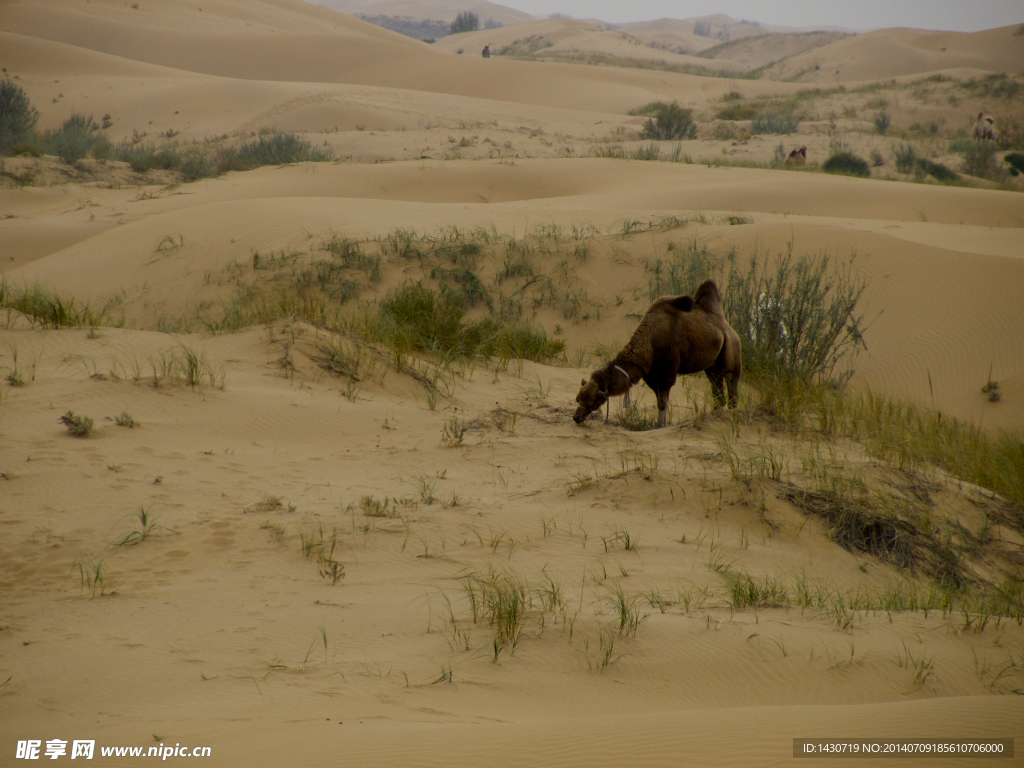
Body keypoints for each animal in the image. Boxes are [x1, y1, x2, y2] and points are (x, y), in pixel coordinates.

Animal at [573, 280, 741, 430]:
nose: (576, 417)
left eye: (593, 399)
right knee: (716, 387)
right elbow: (660, 399)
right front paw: (662, 423)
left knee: (732, 382)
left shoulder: (667, 369)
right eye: (578, 398)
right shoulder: (651, 374)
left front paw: (659, 425)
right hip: (712, 366)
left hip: (731, 349)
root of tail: (731, 330)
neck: (649, 340)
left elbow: (662, 401)